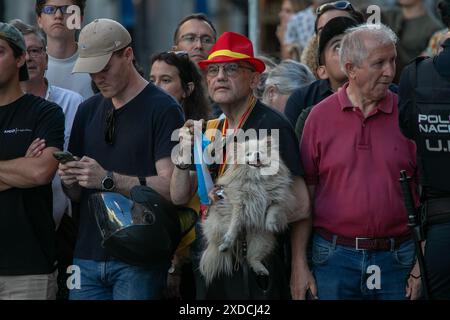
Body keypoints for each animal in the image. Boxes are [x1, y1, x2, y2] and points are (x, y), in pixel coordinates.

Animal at [200, 137, 296, 284]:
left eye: (261, 151)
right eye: (248, 154)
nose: (257, 154)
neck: (258, 178)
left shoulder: (277, 198)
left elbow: (273, 209)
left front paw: (270, 223)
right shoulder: (239, 204)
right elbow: (235, 223)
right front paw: (229, 236)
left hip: (261, 241)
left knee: (252, 258)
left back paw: (260, 269)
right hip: (217, 226)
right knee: (221, 242)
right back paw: (225, 245)